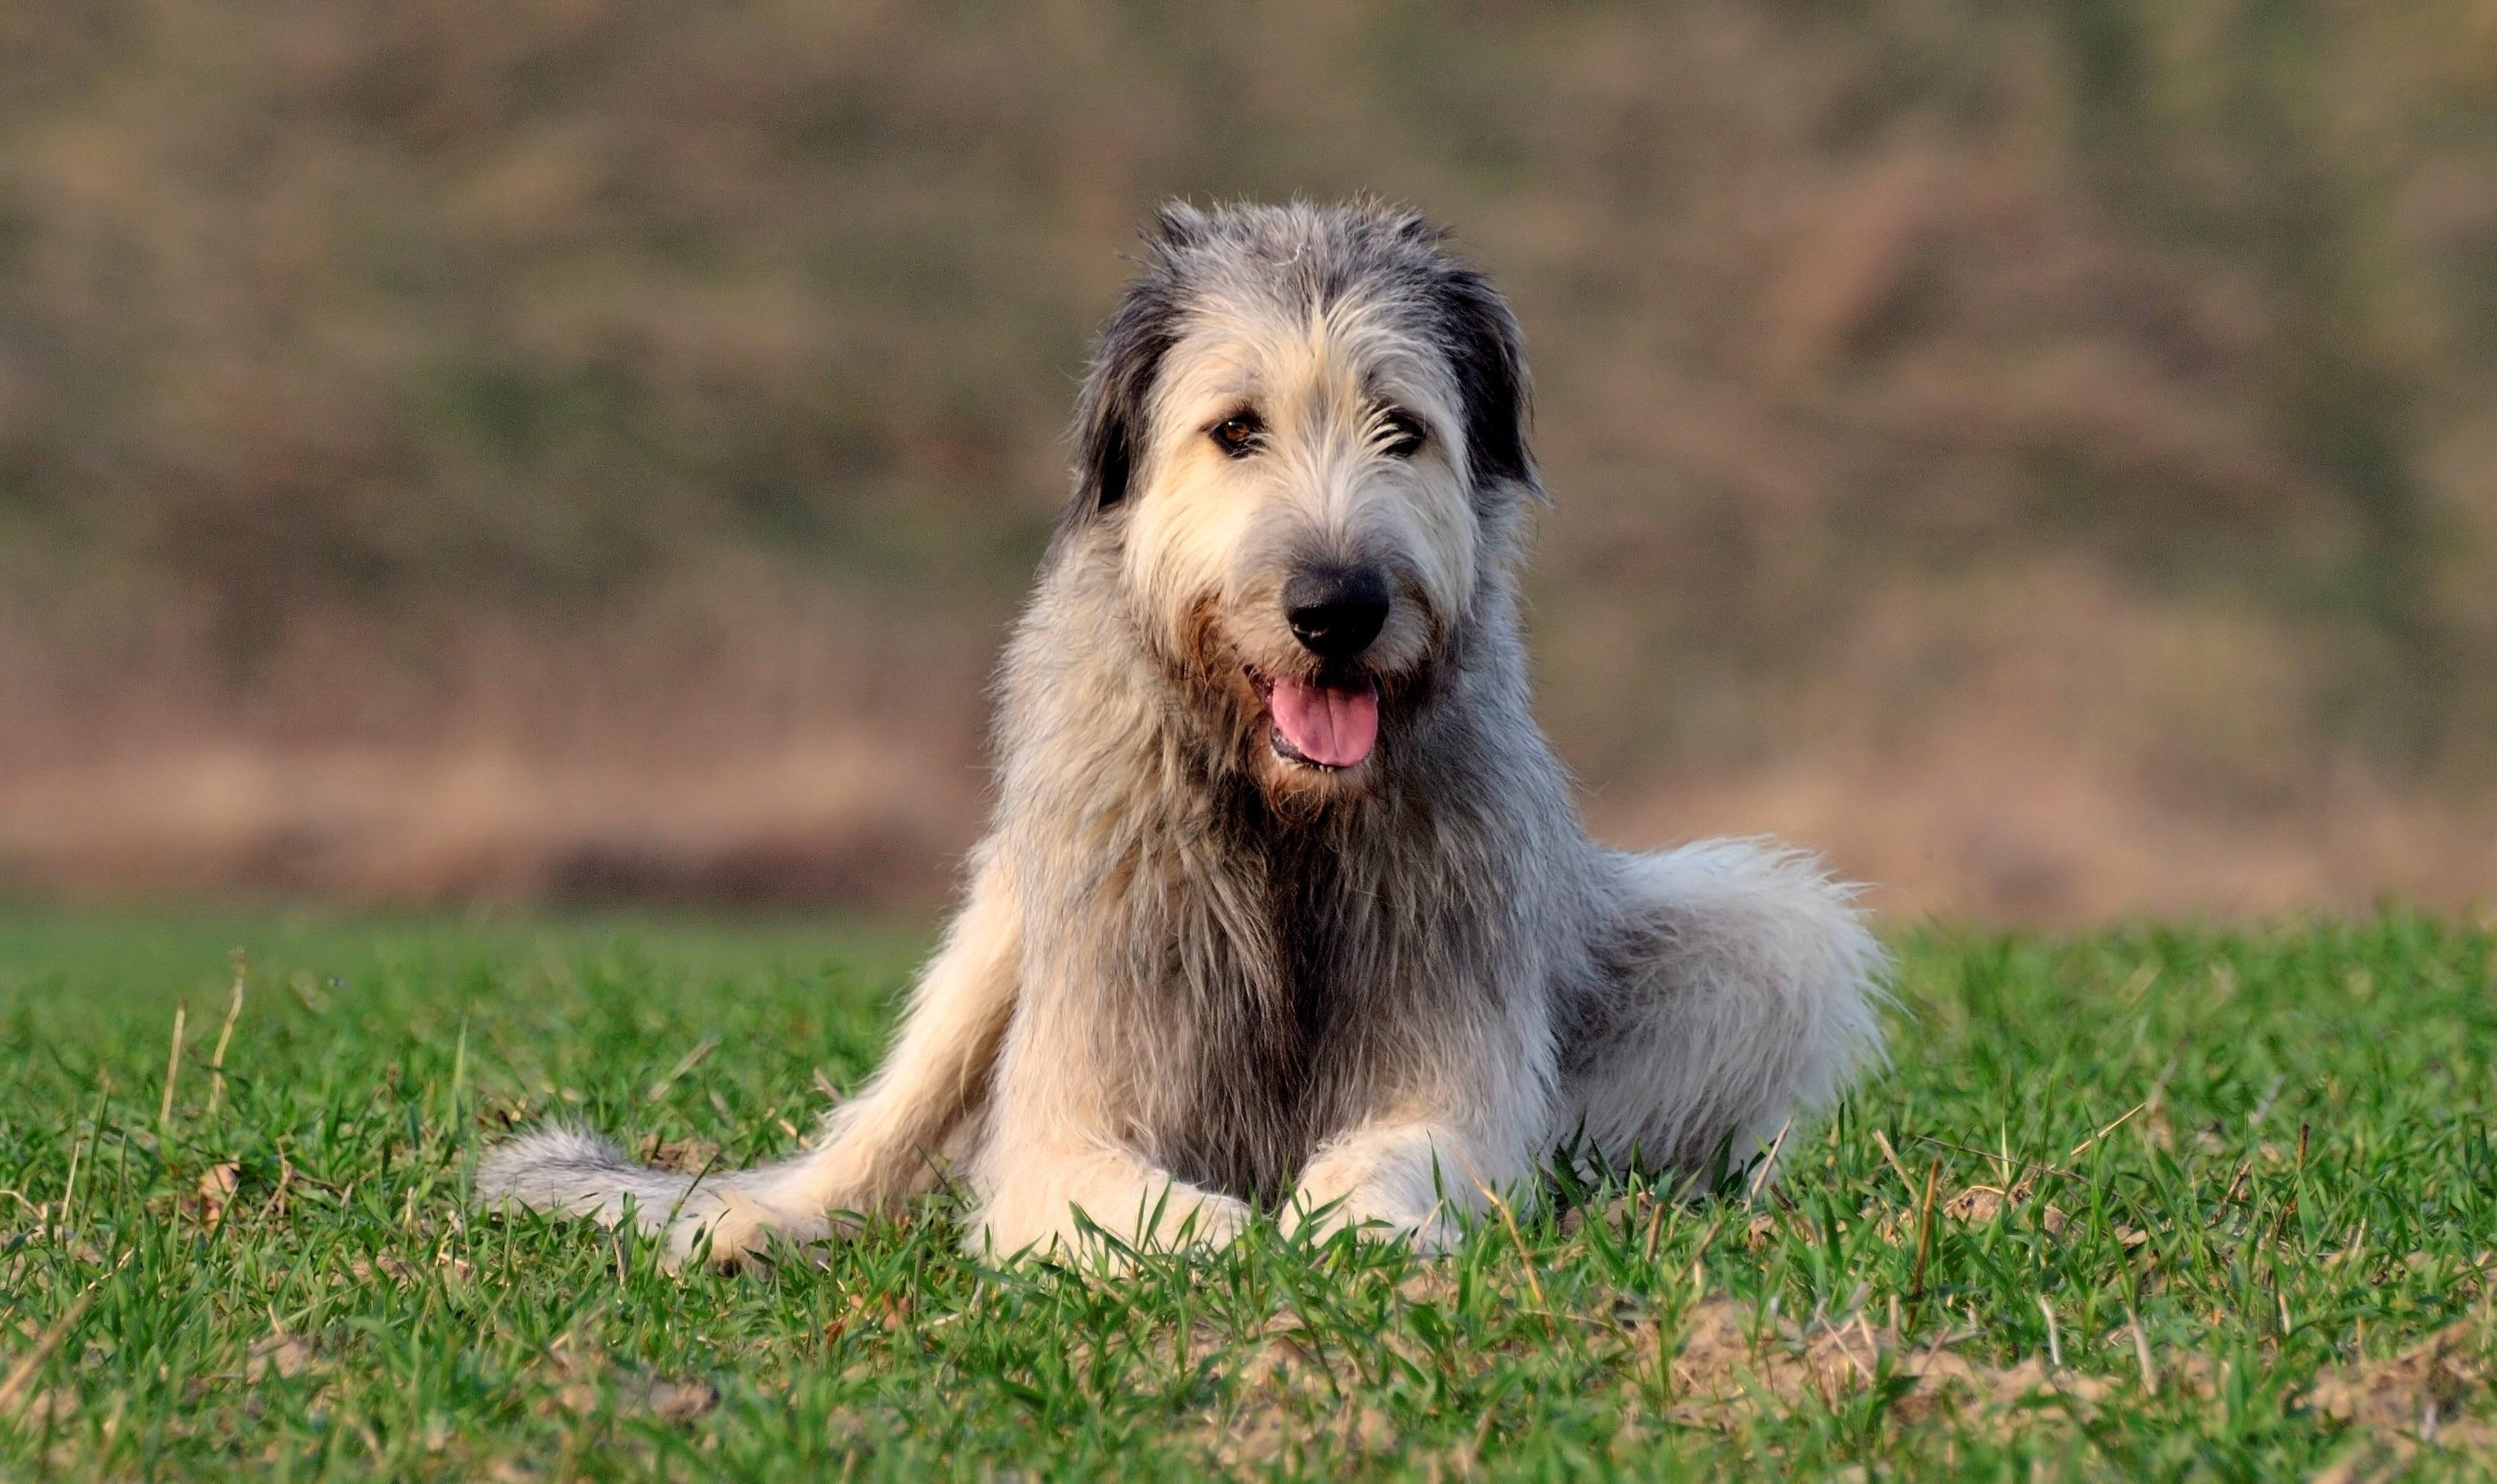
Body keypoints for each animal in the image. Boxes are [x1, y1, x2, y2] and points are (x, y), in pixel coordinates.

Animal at [476, 194, 1878, 1259]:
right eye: (1235, 428)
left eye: (1401, 428)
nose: (1336, 606)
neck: (1280, 807)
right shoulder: (1082, 1056)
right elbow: (1083, 1177)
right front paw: (1208, 1235)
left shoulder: (1457, 1026)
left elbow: (1424, 1142)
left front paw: (1353, 1218)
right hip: (1007, 921)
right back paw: (738, 1220)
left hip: (1744, 936)